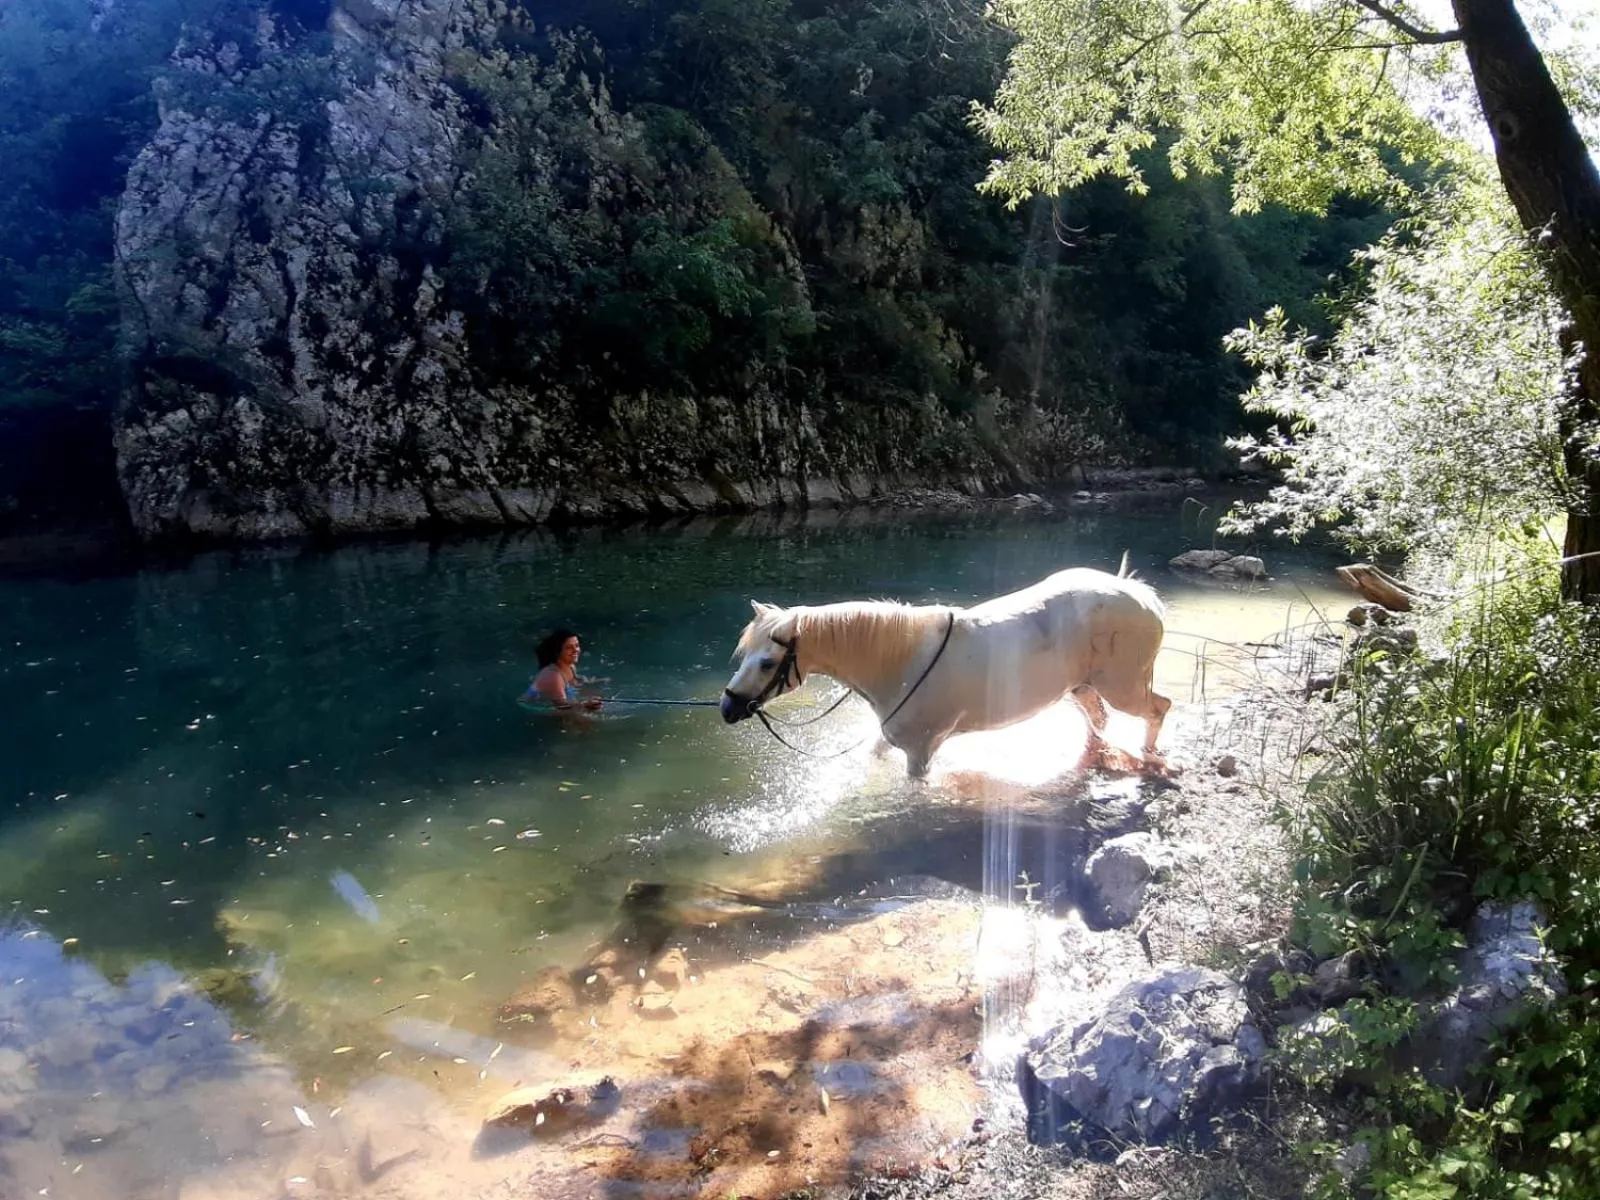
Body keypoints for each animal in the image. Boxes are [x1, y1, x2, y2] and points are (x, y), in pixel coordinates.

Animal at [721, 561, 1172, 779]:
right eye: (743, 656)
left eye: (767, 662)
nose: (727, 708)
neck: (900, 661)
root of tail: (1140, 595)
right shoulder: (890, 742)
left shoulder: (920, 754)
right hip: (1081, 687)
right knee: (1100, 721)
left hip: (1123, 687)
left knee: (1158, 708)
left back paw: (1151, 756)